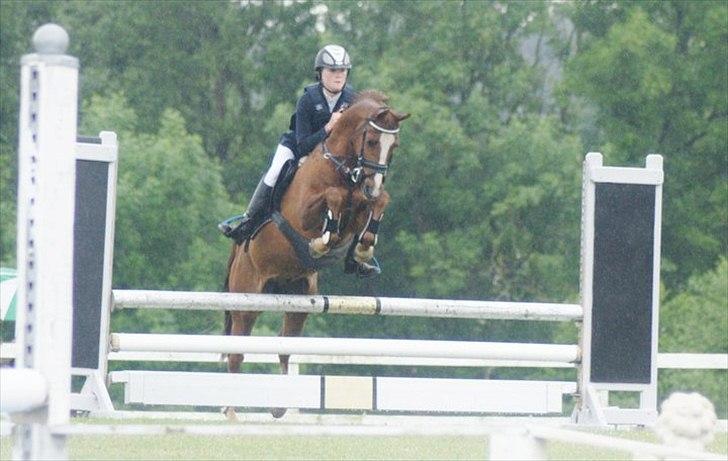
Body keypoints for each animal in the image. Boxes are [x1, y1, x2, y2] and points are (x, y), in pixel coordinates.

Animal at [222, 91, 409, 419]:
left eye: (394, 146)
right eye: (373, 141)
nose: (373, 185)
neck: (345, 168)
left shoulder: (361, 206)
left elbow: (374, 204)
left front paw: (363, 248)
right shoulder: (303, 213)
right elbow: (334, 197)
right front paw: (322, 242)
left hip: (299, 299)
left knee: (285, 346)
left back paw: (280, 406)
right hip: (246, 300)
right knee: (237, 352)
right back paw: (232, 413)